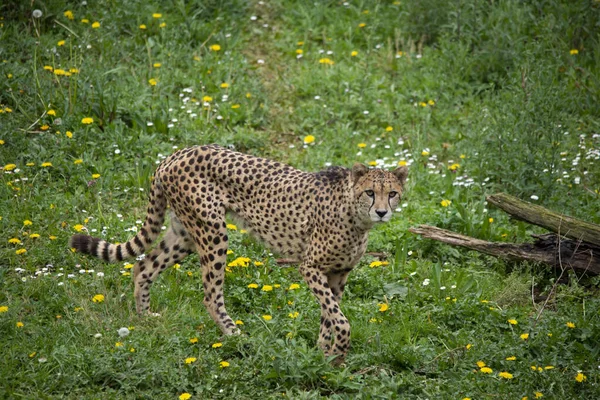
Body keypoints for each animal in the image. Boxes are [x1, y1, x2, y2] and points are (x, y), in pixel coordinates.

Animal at [70, 145, 408, 362]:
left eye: (392, 194)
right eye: (370, 192)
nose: (381, 212)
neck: (356, 217)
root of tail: (174, 154)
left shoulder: (337, 273)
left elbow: (329, 315)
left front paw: (325, 354)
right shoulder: (310, 267)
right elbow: (340, 318)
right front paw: (336, 350)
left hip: (185, 234)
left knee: (144, 266)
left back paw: (145, 317)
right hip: (213, 232)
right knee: (210, 294)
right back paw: (235, 334)